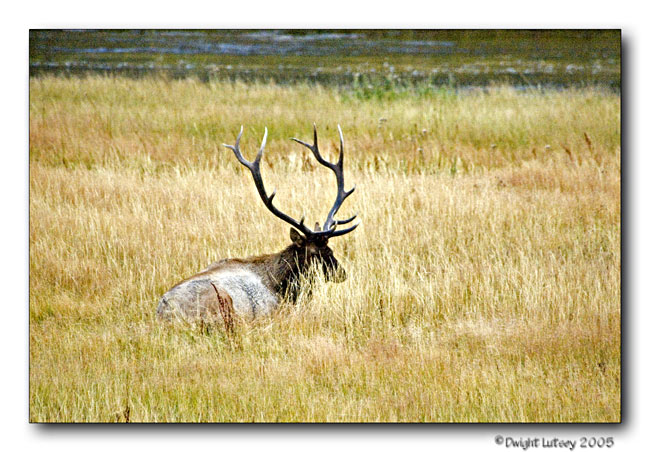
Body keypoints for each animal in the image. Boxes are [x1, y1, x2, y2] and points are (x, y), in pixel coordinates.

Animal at [156, 125, 359, 323]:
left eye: (330, 248)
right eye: (316, 253)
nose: (341, 273)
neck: (284, 286)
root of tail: (164, 311)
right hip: (221, 302)